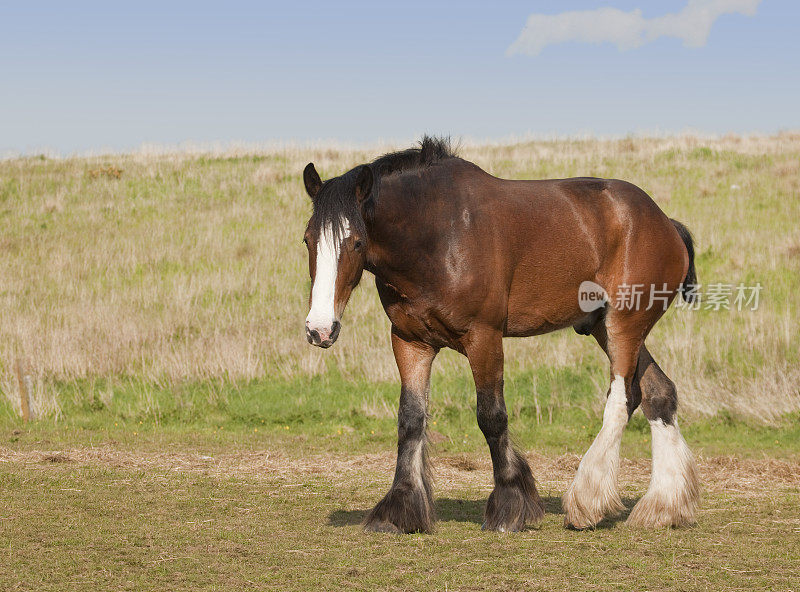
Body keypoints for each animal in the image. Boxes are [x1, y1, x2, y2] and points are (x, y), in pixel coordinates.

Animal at [300, 136, 700, 536]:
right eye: (307, 240)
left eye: (355, 242)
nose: (320, 329)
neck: (438, 233)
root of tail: (666, 223)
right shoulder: (410, 341)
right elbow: (410, 420)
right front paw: (399, 509)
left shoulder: (484, 338)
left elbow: (491, 417)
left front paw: (510, 505)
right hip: (606, 326)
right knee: (659, 393)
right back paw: (664, 505)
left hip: (624, 325)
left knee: (621, 399)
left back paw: (588, 500)